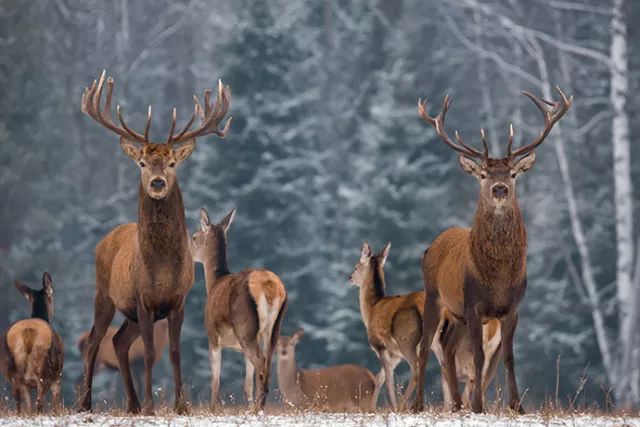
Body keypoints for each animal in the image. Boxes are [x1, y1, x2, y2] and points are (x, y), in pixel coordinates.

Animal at [0, 274, 63, 414]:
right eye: (53, 297)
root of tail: (27, 332)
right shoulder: (58, 376)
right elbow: (56, 405)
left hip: (12, 373)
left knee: (20, 404)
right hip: (44, 370)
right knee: (39, 404)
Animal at [78, 69, 232, 414]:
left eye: (172, 163)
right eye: (142, 163)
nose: (158, 183)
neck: (161, 268)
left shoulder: (178, 301)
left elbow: (174, 353)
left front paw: (181, 405)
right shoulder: (143, 299)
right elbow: (148, 353)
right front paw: (151, 405)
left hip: (129, 312)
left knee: (119, 341)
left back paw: (132, 404)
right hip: (104, 293)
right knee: (95, 340)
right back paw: (86, 403)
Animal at [190, 209, 288, 412]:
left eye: (194, 237)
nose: (187, 251)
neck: (213, 284)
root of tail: (269, 286)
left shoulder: (212, 336)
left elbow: (215, 379)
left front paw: (213, 408)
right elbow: (246, 383)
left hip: (245, 328)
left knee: (260, 362)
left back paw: (258, 407)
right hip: (273, 328)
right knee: (267, 363)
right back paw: (258, 406)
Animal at [348, 241, 502, 412]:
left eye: (356, 267)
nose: (350, 278)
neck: (371, 308)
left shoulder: (379, 345)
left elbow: (386, 377)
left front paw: (386, 407)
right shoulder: (395, 355)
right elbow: (379, 377)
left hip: (407, 340)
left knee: (417, 369)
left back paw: (405, 405)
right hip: (441, 344)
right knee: (449, 369)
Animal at [412, 88, 572, 414]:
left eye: (512, 174)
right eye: (484, 174)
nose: (500, 189)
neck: (497, 278)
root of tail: (432, 244)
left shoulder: (512, 308)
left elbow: (508, 357)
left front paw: (516, 406)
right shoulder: (473, 306)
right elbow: (478, 357)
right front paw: (478, 406)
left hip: (456, 314)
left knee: (448, 348)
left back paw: (456, 404)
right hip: (435, 297)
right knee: (425, 347)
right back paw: (419, 404)